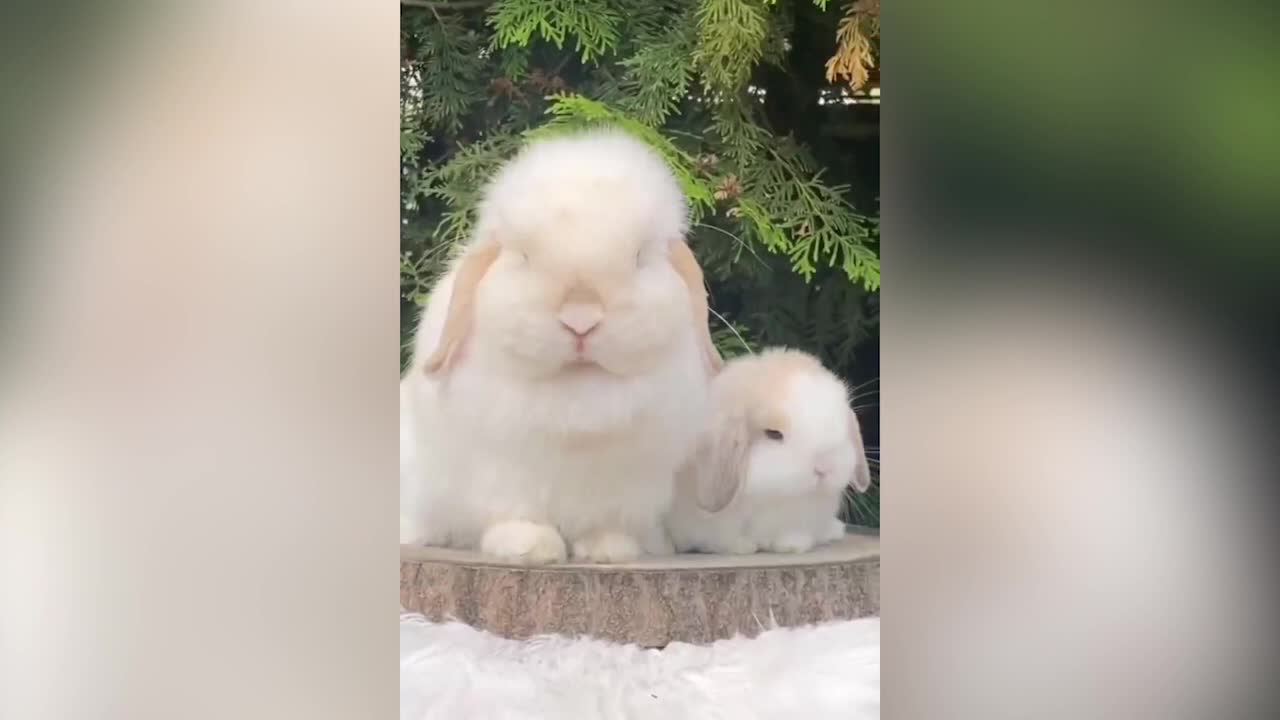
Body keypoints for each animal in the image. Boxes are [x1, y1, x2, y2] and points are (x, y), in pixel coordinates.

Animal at [399, 130, 721, 566]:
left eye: (640, 257)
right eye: (523, 256)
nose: (580, 320)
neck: (578, 391)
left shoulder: (630, 482)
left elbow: (608, 522)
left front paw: (609, 550)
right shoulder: (501, 469)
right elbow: (514, 513)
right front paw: (530, 548)